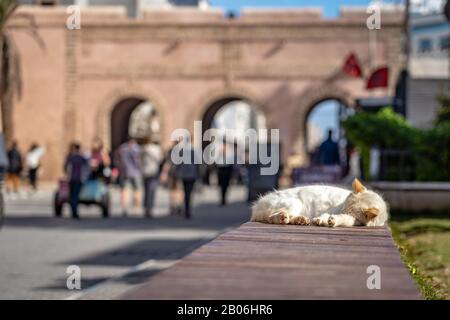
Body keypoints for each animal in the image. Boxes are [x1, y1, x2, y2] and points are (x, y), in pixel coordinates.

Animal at [251, 178, 388, 228]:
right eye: (343, 206)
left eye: (347, 210)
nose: (340, 211)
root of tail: (257, 205)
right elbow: (328, 216)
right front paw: (325, 220)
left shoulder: (353, 219)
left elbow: (344, 219)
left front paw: (330, 220)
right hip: (295, 202)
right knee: (272, 217)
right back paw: (282, 217)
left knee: (288, 218)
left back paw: (300, 220)